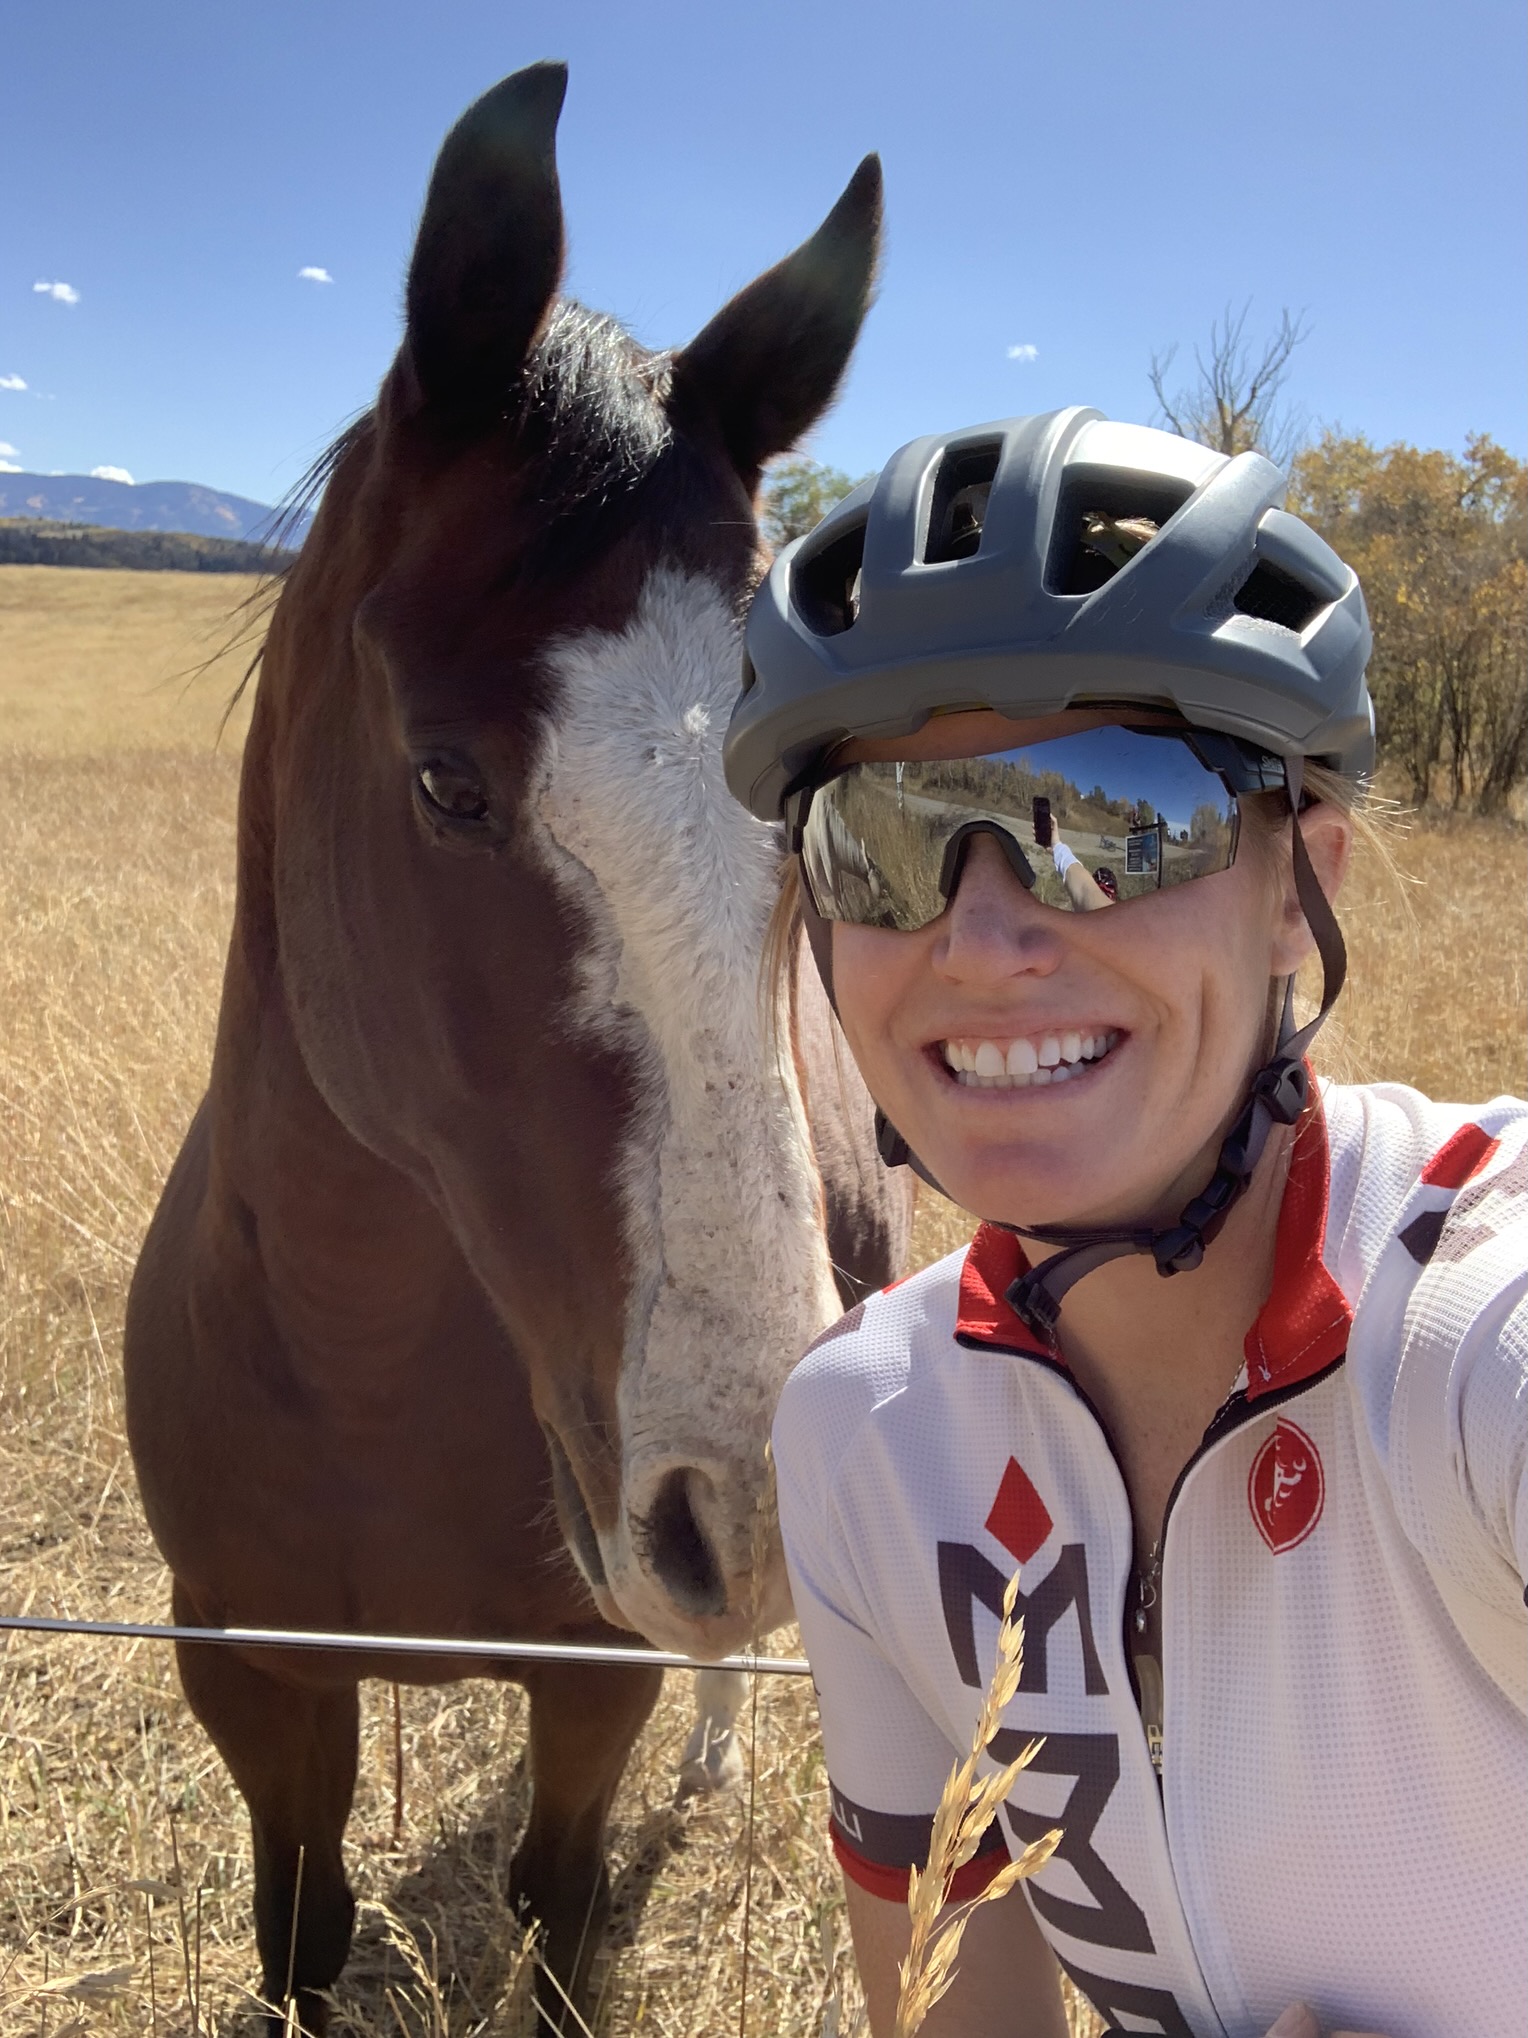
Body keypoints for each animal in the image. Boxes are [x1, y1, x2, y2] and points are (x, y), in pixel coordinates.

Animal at [122, 61, 909, 2034]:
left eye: (798, 799)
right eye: (445, 784)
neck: (353, 1363)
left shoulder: (591, 1678)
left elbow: (560, 1904)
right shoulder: (250, 1674)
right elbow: (303, 1932)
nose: (739, 1496)